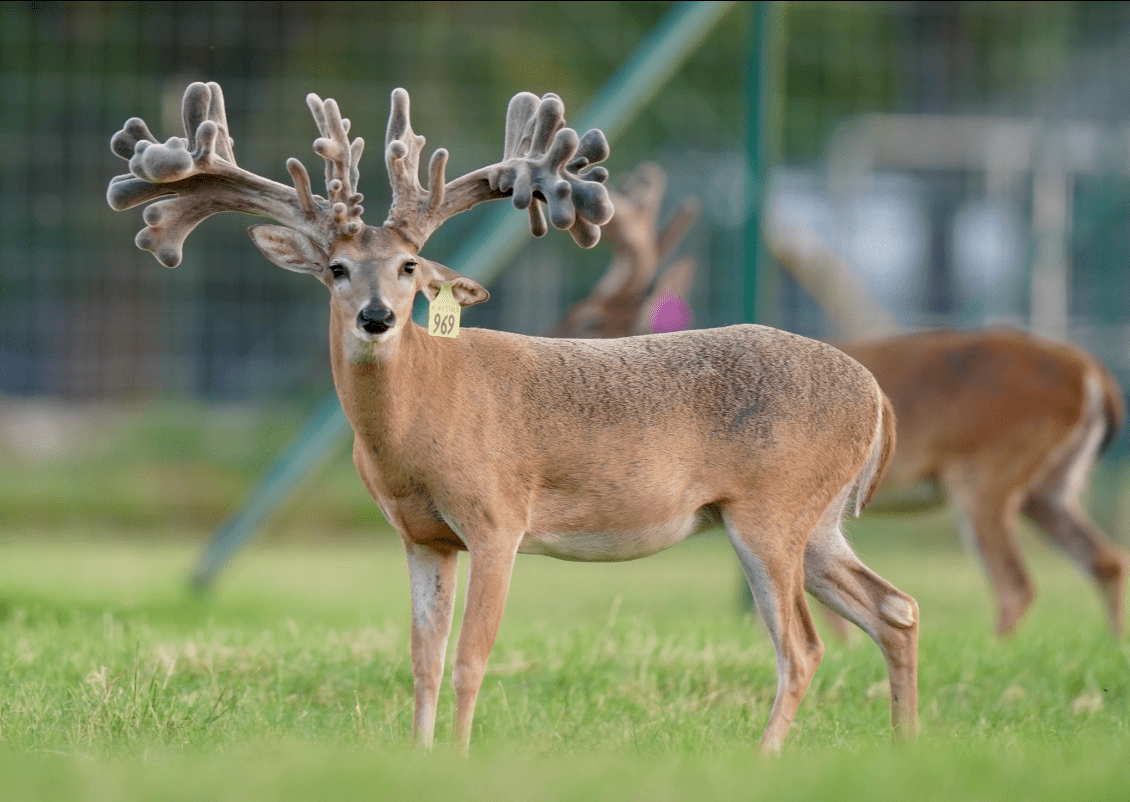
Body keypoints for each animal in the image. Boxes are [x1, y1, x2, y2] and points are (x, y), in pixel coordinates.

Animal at [108, 81, 919, 754]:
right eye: (336, 269)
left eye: (409, 267)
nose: (375, 317)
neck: (419, 424)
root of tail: (875, 393)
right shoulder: (422, 536)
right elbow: (423, 660)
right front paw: (419, 757)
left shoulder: (497, 517)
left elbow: (471, 658)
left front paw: (460, 760)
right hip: (816, 522)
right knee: (896, 608)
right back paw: (904, 747)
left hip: (772, 511)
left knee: (804, 646)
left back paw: (766, 758)